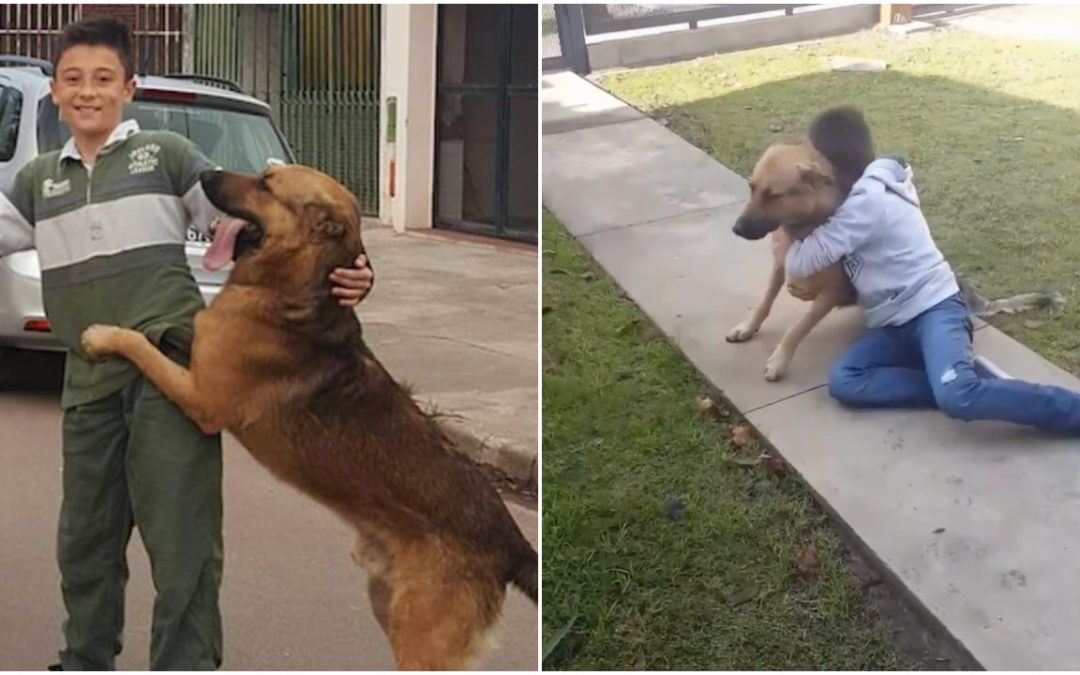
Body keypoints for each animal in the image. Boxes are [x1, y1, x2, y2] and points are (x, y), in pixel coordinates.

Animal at [78, 163, 535, 669]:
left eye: (265, 184)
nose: (206, 172)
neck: (291, 287)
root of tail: (512, 545)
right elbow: (167, 334)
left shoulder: (200, 398)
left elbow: (144, 346)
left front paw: (104, 336)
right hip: (387, 604)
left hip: (420, 638)